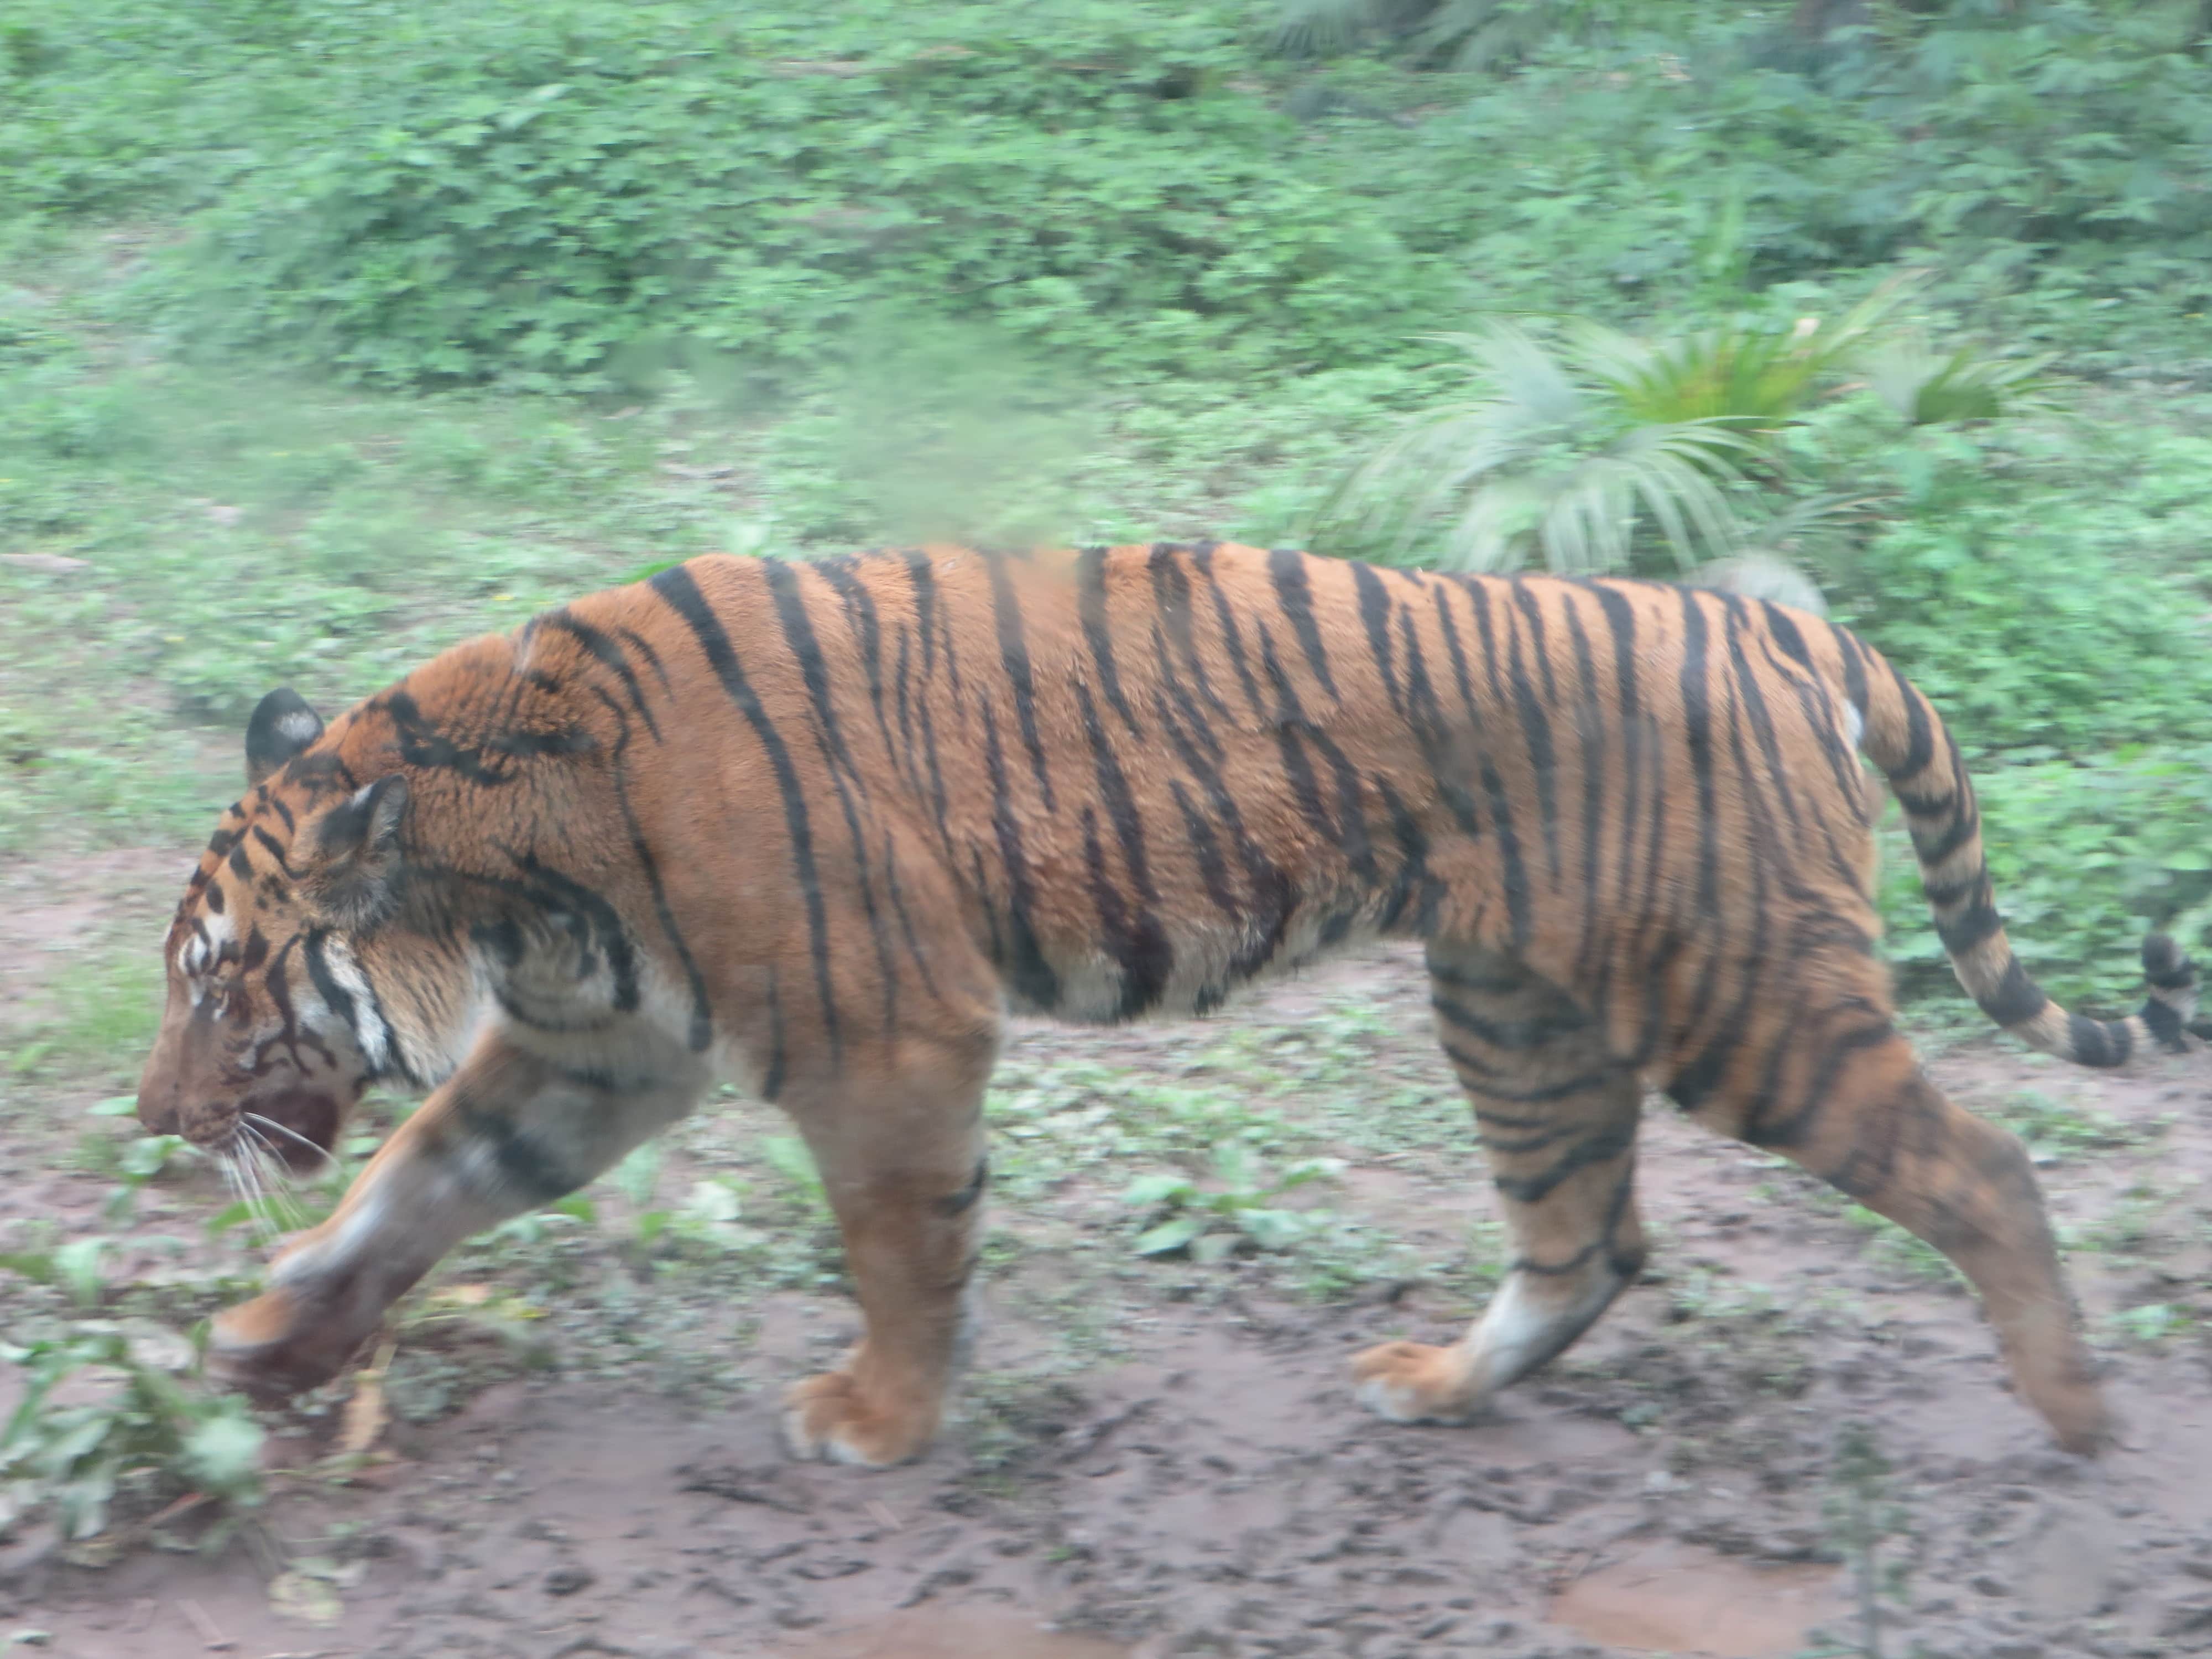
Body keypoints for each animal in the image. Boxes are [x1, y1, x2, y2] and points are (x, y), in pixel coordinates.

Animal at [135, 541, 2196, 1466]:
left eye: (225, 984)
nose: (151, 1125)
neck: (510, 862)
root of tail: (1765, 613)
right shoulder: (593, 1049)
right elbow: (412, 1185)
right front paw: (272, 1341)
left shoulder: (886, 1039)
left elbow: (899, 1249)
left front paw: (877, 1419)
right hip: (1518, 1011)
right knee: (1588, 1238)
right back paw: (1437, 1385)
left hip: (1738, 996)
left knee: (1983, 1167)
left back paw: (2078, 1412)